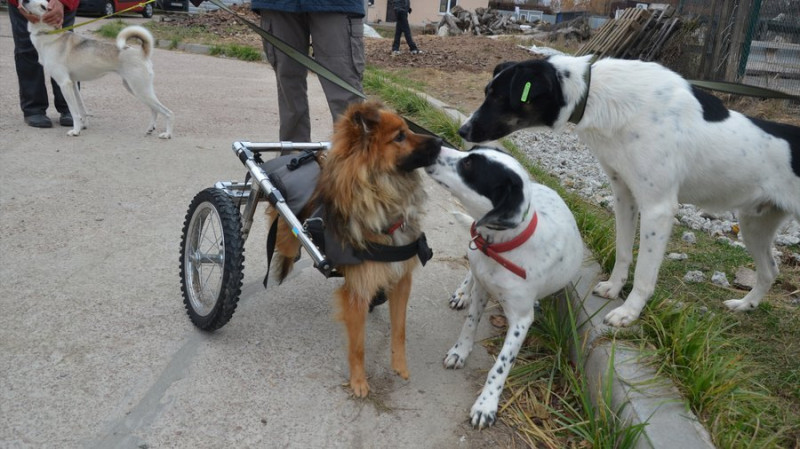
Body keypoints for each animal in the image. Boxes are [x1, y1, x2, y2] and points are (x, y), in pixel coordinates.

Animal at [268, 101, 444, 396]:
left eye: (408, 130)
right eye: (400, 136)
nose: (442, 141)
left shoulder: (400, 278)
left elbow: (400, 329)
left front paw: (399, 365)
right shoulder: (357, 290)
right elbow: (358, 345)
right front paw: (359, 382)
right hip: (285, 230)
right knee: (283, 244)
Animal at [424, 146, 580, 428]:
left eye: (469, 166)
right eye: (469, 151)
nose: (433, 145)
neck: (502, 247)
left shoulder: (521, 321)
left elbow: (501, 365)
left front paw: (486, 404)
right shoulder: (482, 289)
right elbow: (470, 323)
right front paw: (460, 351)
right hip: (474, 257)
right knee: (471, 271)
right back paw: (462, 292)